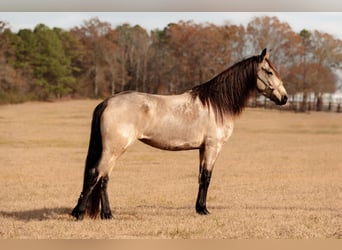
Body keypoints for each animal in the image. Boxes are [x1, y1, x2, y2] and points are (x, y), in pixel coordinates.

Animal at [71, 47, 288, 220]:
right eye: (269, 71)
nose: (284, 98)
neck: (215, 104)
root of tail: (108, 101)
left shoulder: (202, 149)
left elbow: (201, 177)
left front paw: (199, 208)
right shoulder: (213, 147)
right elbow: (207, 177)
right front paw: (204, 210)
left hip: (113, 150)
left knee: (103, 178)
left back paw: (106, 214)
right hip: (113, 149)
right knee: (95, 175)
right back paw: (80, 213)